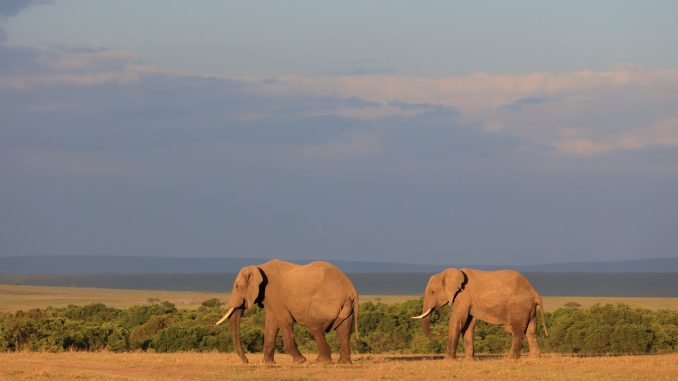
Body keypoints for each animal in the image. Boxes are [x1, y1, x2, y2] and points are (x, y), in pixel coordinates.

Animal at [216, 258, 362, 362]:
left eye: (237, 286)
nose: (247, 361)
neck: (259, 267)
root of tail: (351, 288)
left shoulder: (273, 292)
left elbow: (283, 320)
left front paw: (300, 361)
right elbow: (271, 324)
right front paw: (268, 364)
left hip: (325, 302)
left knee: (314, 326)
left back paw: (321, 362)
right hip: (345, 307)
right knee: (343, 330)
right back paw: (343, 363)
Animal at [412, 268, 548, 360]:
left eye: (432, 292)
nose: (440, 332)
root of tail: (535, 292)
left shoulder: (462, 296)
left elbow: (457, 322)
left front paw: (449, 360)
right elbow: (468, 325)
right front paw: (469, 360)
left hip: (519, 306)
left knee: (518, 331)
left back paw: (511, 359)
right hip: (529, 308)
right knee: (531, 330)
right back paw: (534, 358)